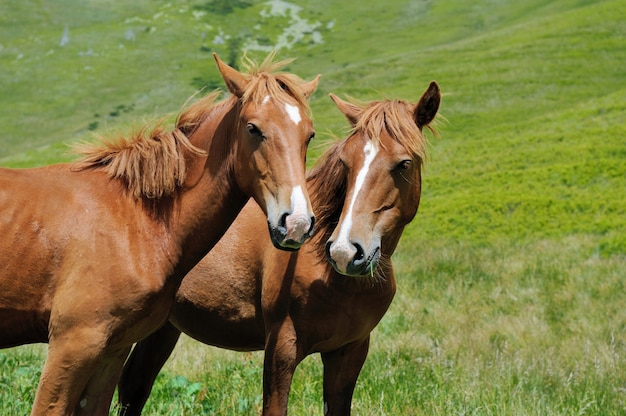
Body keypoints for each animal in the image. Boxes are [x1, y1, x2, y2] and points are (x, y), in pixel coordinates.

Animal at [0, 53, 320, 414]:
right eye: (253, 128)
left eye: (309, 135)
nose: (296, 223)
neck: (133, 220)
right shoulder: (72, 344)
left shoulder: (113, 349)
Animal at [117, 82, 438, 416]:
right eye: (346, 163)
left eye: (404, 163)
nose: (345, 252)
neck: (334, 280)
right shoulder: (281, 347)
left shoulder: (349, 352)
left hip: (164, 328)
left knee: (135, 386)